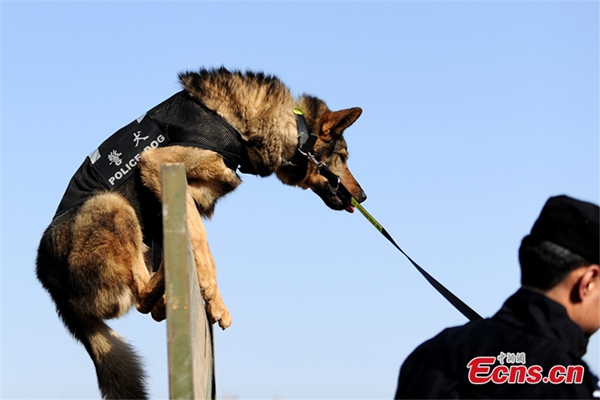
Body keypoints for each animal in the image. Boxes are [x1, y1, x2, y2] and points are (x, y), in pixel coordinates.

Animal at [37, 67, 368, 398]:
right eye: (343, 157)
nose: (363, 197)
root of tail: (49, 282)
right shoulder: (158, 164)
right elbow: (200, 239)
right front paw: (214, 296)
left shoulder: (194, 192)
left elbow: (199, 229)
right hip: (112, 204)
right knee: (142, 297)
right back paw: (167, 275)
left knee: (151, 307)